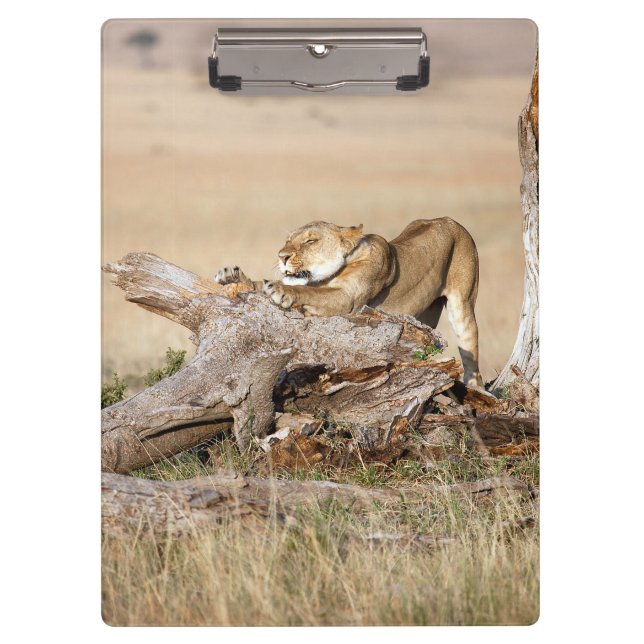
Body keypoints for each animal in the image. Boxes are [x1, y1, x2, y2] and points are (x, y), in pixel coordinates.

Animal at [214, 218, 482, 386]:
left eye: (310, 241)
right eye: (288, 240)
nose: (282, 256)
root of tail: (449, 220)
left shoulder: (348, 299)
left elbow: (307, 292)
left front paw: (281, 290)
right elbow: (260, 284)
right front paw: (232, 277)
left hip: (463, 305)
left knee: (471, 358)